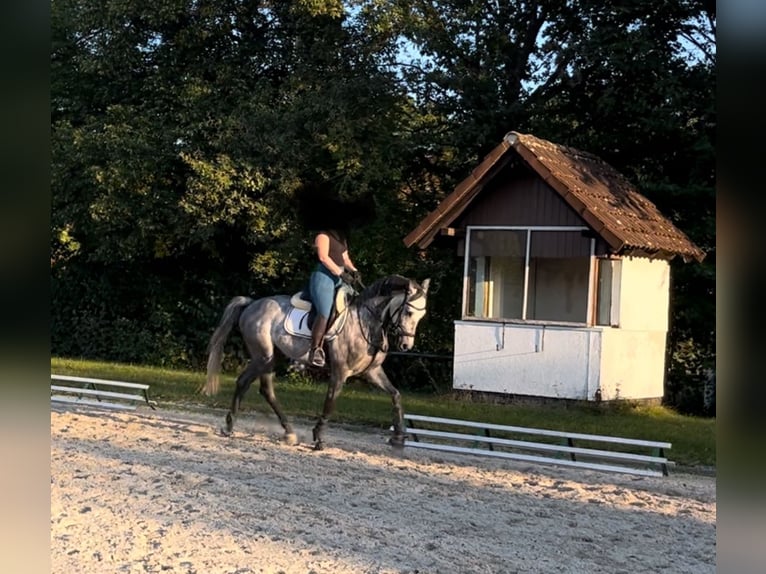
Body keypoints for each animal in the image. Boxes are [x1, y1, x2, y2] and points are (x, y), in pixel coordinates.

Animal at [201, 274, 430, 450]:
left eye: (422, 315)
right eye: (409, 311)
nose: (406, 345)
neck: (366, 322)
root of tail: (251, 304)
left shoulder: (371, 371)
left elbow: (396, 395)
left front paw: (398, 436)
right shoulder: (340, 371)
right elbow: (330, 402)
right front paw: (319, 438)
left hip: (273, 357)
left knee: (266, 390)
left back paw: (289, 432)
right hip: (262, 356)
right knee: (243, 382)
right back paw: (229, 427)